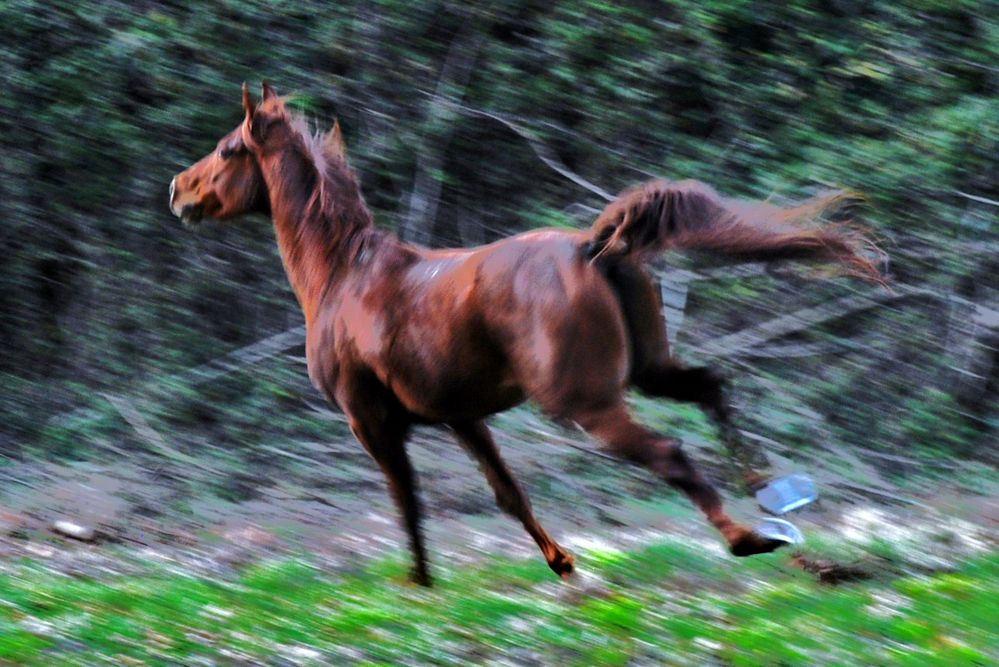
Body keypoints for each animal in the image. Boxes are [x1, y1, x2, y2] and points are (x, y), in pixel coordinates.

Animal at [174, 82, 884, 584]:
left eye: (230, 148)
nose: (178, 189)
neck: (345, 274)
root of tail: (591, 248)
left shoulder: (369, 419)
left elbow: (407, 501)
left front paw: (420, 585)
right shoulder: (460, 416)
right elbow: (507, 493)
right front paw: (562, 563)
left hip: (583, 402)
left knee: (670, 454)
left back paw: (752, 538)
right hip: (646, 369)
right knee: (711, 387)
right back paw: (780, 506)